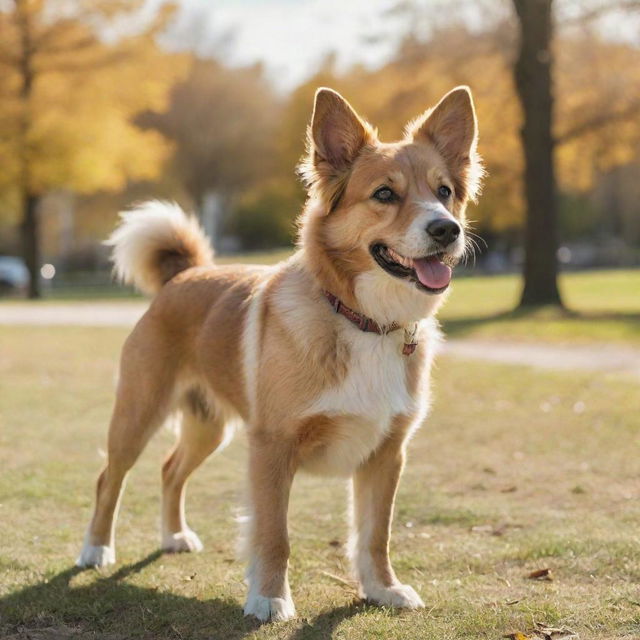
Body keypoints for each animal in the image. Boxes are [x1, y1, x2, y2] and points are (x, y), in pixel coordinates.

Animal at [77, 85, 482, 620]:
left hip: (209, 427)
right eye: (384, 194)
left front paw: (383, 589)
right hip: (138, 414)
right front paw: (269, 598)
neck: (364, 321)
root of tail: (184, 274)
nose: (446, 230)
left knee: (169, 469)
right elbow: (275, 535)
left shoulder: (387, 455)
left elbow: (376, 535)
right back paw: (96, 549)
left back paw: (174, 536)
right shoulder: (272, 448)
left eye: (444, 192)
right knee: (110, 478)